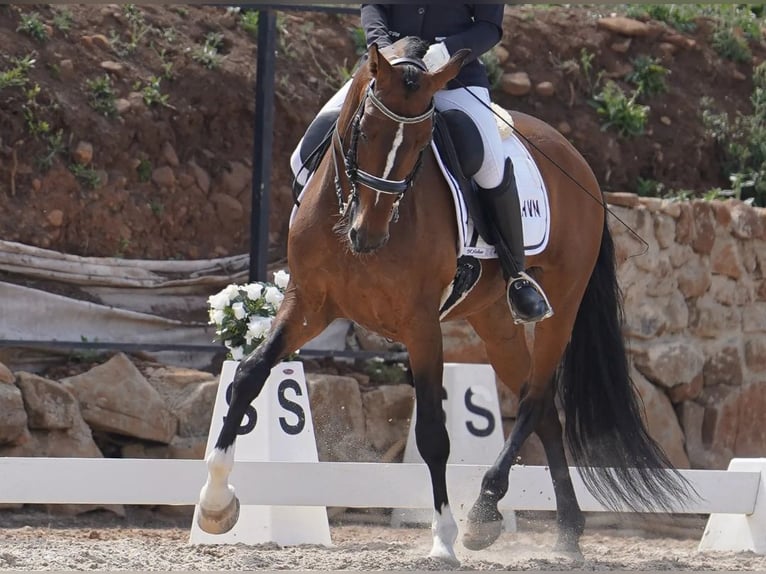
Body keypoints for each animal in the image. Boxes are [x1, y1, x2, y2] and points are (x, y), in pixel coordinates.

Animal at [196, 37, 688, 568]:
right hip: (493, 319)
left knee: (535, 399)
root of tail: (579, 163)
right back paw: (566, 532)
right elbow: (248, 378)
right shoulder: (309, 302)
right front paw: (215, 503)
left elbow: (434, 432)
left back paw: (484, 513)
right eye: (365, 129)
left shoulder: (421, 326)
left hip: (563, 301)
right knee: (543, 410)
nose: (367, 235)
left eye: (420, 144)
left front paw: (443, 539)